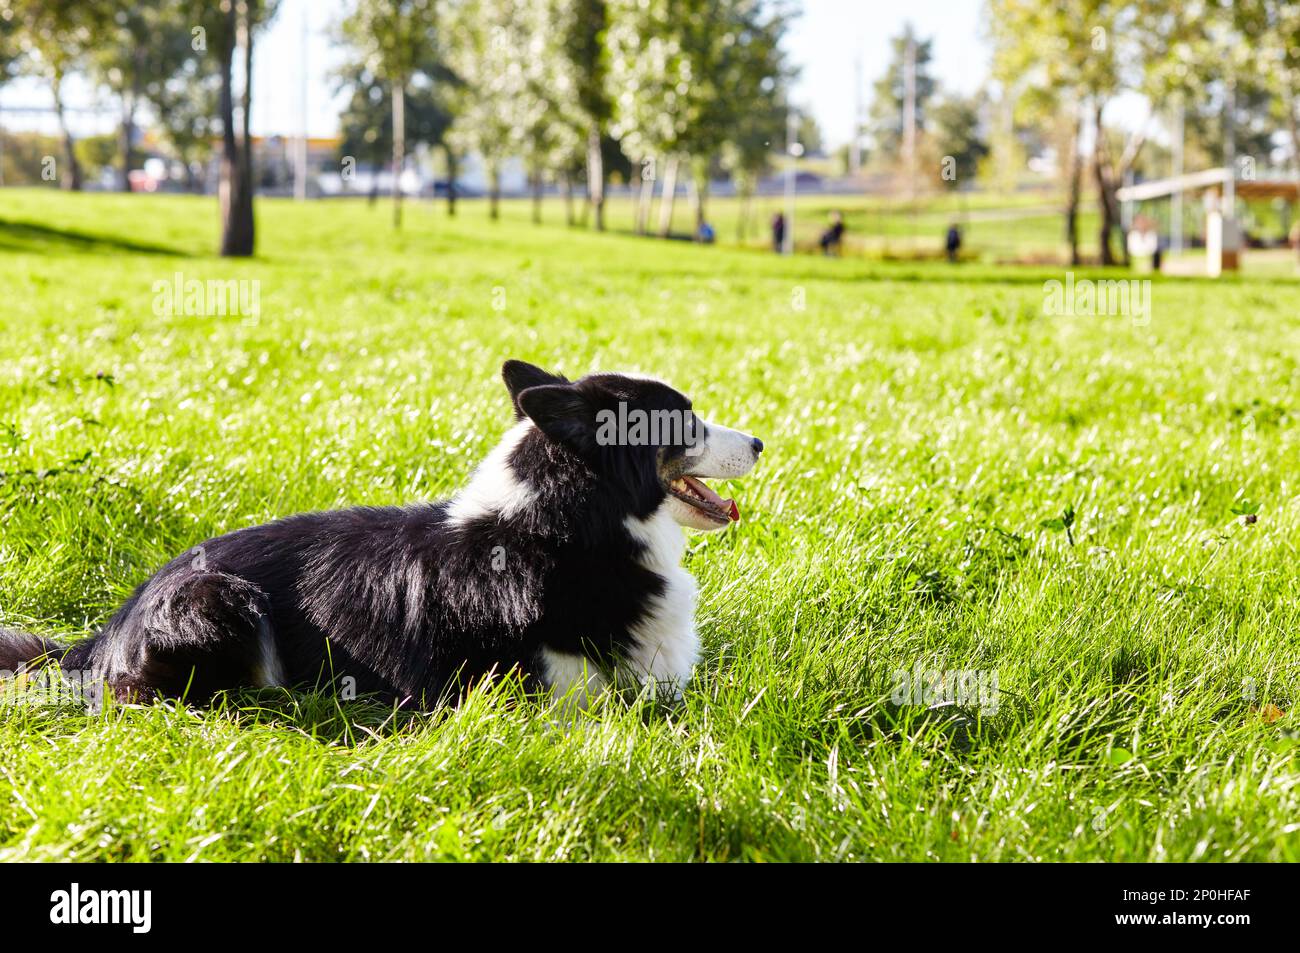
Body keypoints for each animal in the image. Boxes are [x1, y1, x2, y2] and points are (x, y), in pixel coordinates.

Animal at [0, 361, 759, 712]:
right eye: (683, 422)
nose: (758, 442)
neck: (559, 530)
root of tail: (98, 641)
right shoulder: (545, 699)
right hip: (218, 598)